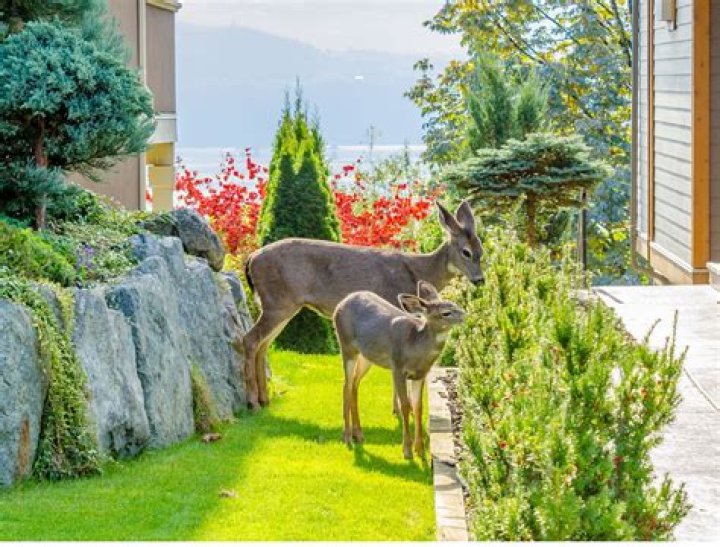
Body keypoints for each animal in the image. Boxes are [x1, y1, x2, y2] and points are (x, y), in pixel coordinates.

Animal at [243, 201, 483, 410]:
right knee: (250, 340)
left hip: (282, 305)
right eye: (466, 252)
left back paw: (265, 399)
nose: (480, 279)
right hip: (277, 302)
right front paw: (396, 409)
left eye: (481, 251)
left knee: (264, 344)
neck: (419, 271)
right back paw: (253, 402)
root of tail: (251, 258)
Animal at [333, 280, 466, 459]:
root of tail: (342, 302)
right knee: (346, 385)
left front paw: (420, 449)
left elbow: (418, 407)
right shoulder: (397, 367)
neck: (415, 346)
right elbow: (405, 406)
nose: (466, 315)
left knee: (354, 384)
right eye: (446, 313)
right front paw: (407, 450)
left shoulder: (420, 374)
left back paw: (358, 434)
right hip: (346, 345)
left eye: (456, 305)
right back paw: (347, 437)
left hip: (366, 356)